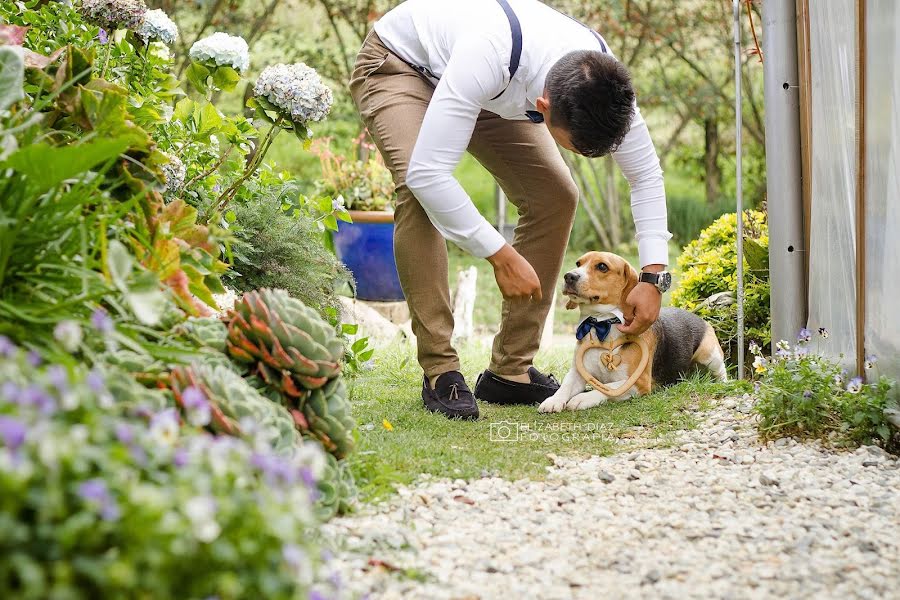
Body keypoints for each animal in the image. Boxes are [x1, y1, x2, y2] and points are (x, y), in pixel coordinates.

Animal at [536, 250, 728, 412]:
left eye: (602, 266)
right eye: (578, 263)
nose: (569, 276)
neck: (602, 324)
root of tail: (699, 317)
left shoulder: (639, 383)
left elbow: (609, 387)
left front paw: (583, 398)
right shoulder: (578, 372)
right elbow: (566, 386)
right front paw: (554, 400)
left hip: (710, 356)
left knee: (721, 371)